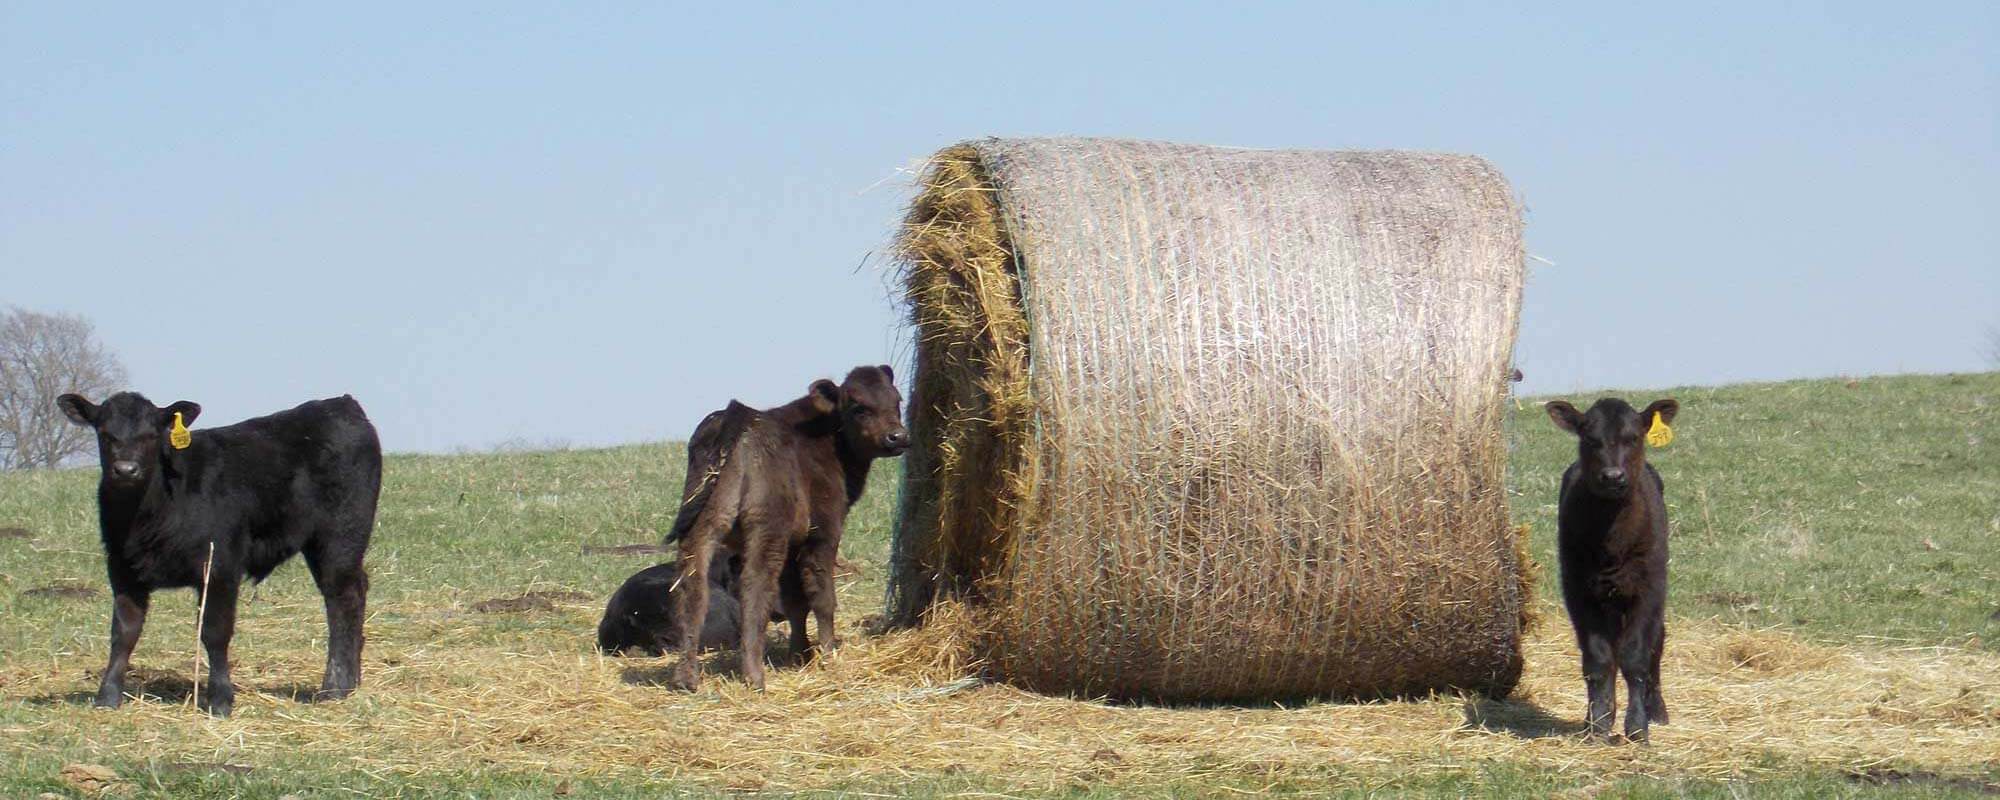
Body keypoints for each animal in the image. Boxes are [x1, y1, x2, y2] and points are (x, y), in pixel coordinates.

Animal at [59, 390, 378, 716]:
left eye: (151, 435)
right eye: (105, 433)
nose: (126, 470)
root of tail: (340, 403)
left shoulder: (221, 566)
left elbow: (215, 632)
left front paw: (221, 698)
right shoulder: (123, 569)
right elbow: (124, 632)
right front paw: (108, 695)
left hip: (341, 536)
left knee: (343, 598)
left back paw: (334, 686)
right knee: (355, 589)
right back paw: (352, 681)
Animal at [664, 366, 908, 692]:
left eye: (897, 400)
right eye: (858, 407)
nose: (898, 436)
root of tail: (739, 414)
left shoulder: (795, 543)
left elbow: (795, 600)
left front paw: (799, 654)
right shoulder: (822, 532)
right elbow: (821, 595)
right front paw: (827, 654)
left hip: (702, 523)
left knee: (692, 585)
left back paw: (685, 677)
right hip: (768, 527)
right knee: (755, 585)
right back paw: (754, 675)